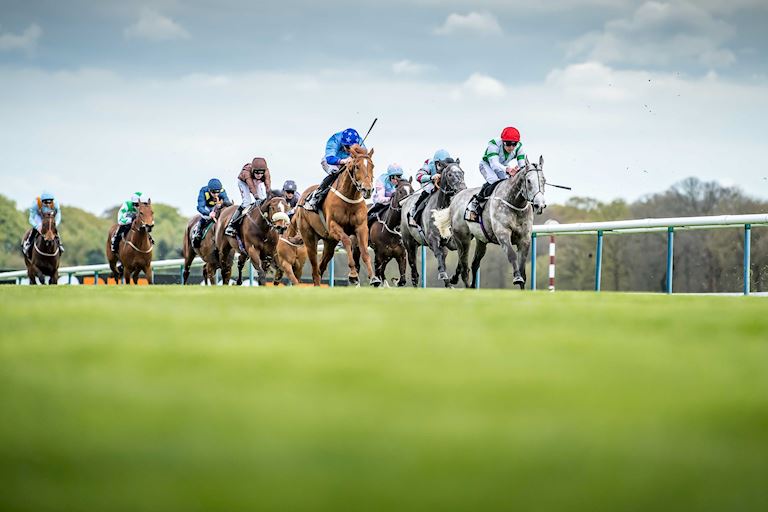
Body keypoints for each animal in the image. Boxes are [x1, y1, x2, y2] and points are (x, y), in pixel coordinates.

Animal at [296, 144, 380, 288]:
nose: (367, 189)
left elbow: (364, 251)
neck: (349, 198)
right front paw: (353, 275)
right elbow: (347, 241)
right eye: (357, 166)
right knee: (315, 268)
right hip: (309, 238)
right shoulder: (334, 226)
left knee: (321, 267)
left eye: (372, 165)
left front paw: (373, 278)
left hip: (329, 242)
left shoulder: (361, 228)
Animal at [432, 156, 544, 290]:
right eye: (528, 181)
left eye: (544, 180)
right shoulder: (502, 234)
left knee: (474, 264)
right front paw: (517, 277)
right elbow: (512, 255)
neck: (514, 204)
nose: (540, 204)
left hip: (481, 240)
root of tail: (455, 198)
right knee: (464, 267)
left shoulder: (525, 239)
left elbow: (523, 270)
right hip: (462, 239)